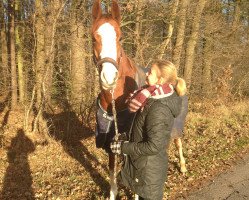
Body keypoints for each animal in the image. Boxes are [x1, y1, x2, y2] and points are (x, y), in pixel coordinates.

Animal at [91, 0, 187, 199]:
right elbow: (113, 175)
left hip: (176, 125)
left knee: (178, 140)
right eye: (93, 38)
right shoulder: (111, 141)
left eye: (120, 38)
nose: (109, 79)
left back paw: (182, 167)